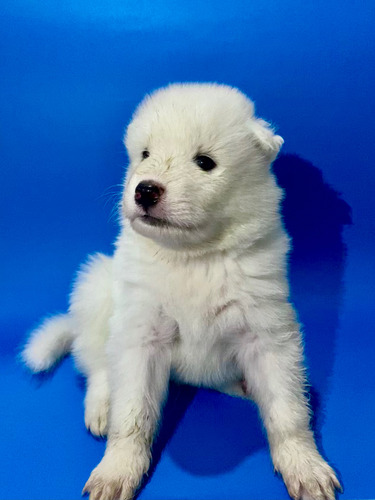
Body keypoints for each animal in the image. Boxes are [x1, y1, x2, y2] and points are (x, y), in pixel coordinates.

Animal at [22, 85, 342, 500]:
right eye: (144, 154)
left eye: (205, 162)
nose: (144, 190)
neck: (192, 257)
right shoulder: (141, 334)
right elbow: (132, 414)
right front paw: (116, 471)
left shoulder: (267, 329)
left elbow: (287, 409)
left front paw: (304, 465)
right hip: (98, 291)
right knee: (96, 365)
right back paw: (101, 407)